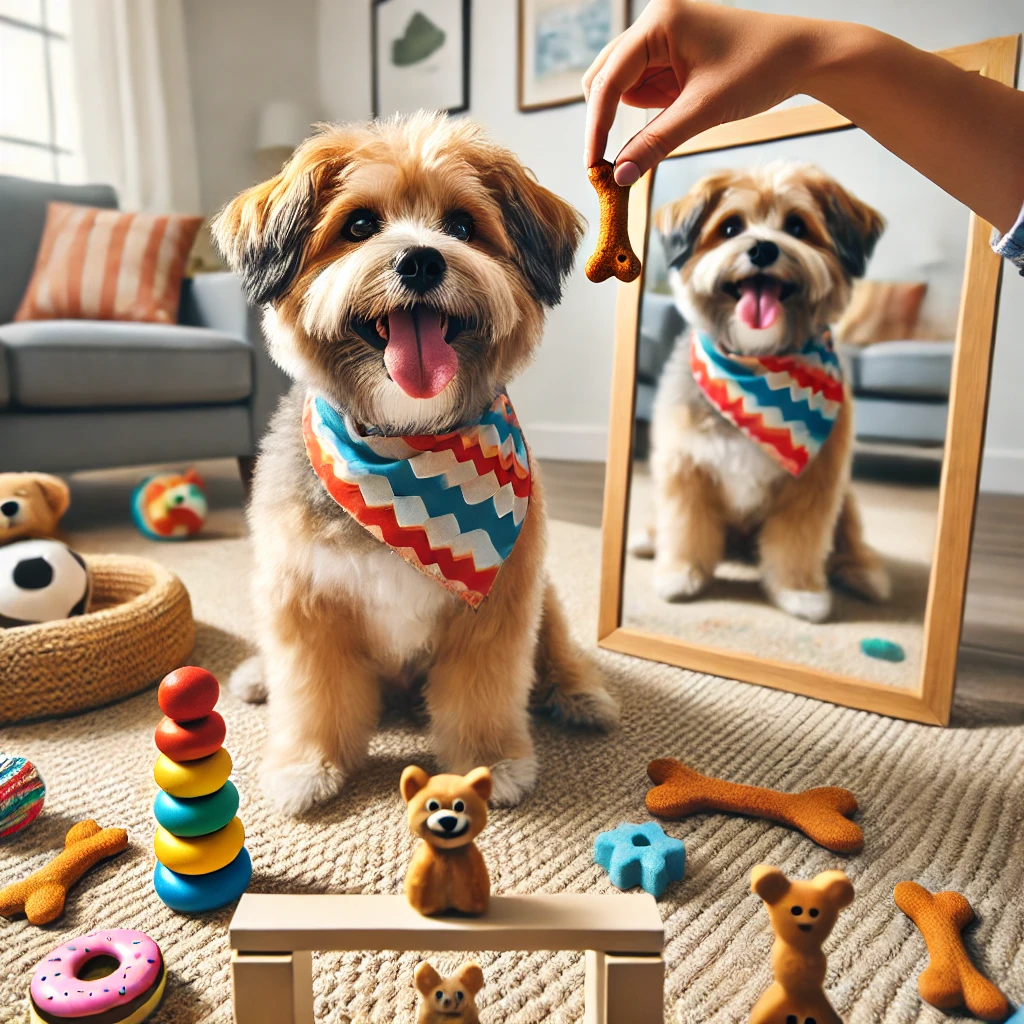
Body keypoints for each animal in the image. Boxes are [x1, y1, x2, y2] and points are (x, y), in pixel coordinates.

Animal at [212, 114, 614, 815]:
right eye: (359, 225)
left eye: (462, 226)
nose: (421, 259)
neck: (406, 444)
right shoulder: (306, 601)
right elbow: (312, 696)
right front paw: (308, 765)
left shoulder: (499, 607)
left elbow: (483, 694)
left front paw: (489, 764)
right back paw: (259, 676)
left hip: (546, 598)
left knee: (559, 651)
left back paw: (580, 692)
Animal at [401, 765, 489, 917]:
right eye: (433, 806)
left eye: (459, 806)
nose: (448, 820)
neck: (448, 853)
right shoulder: (424, 864)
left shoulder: (473, 862)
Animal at [630, 163, 888, 618]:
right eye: (731, 227)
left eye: (798, 226)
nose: (763, 250)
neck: (756, 366)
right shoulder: (687, 468)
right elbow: (684, 526)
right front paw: (680, 573)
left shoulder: (815, 484)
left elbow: (799, 541)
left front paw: (800, 591)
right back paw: (649, 537)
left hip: (847, 501)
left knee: (850, 542)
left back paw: (863, 573)